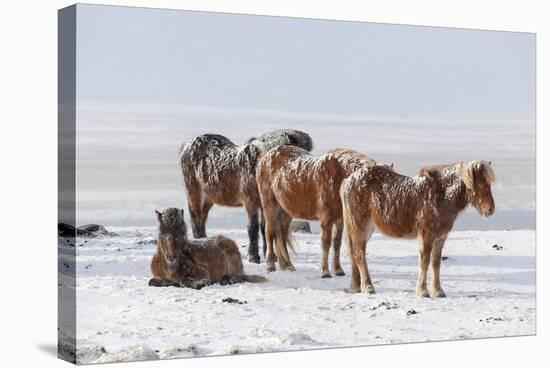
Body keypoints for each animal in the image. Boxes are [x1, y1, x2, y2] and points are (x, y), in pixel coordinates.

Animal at [179, 128, 312, 264]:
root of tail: (187, 146)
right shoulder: (250, 202)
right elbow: (252, 227)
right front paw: (253, 257)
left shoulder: (264, 204)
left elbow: (265, 228)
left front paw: (270, 255)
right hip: (194, 191)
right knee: (195, 217)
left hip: (209, 197)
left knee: (202, 218)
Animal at [256, 145, 382, 278]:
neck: (338, 176)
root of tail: (265, 157)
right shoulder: (326, 219)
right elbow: (325, 244)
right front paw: (325, 271)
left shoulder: (339, 219)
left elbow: (336, 243)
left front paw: (338, 270)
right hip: (270, 205)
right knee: (270, 232)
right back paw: (270, 265)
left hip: (285, 210)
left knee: (282, 234)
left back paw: (287, 265)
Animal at [342, 160, 498, 296]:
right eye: (480, 183)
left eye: (489, 183)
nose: (490, 210)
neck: (441, 197)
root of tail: (348, 181)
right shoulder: (426, 235)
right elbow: (425, 262)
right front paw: (423, 291)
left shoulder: (440, 237)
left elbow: (436, 263)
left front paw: (438, 291)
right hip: (360, 226)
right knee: (359, 255)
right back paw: (368, 287)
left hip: (367, 229)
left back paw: (357, 286)